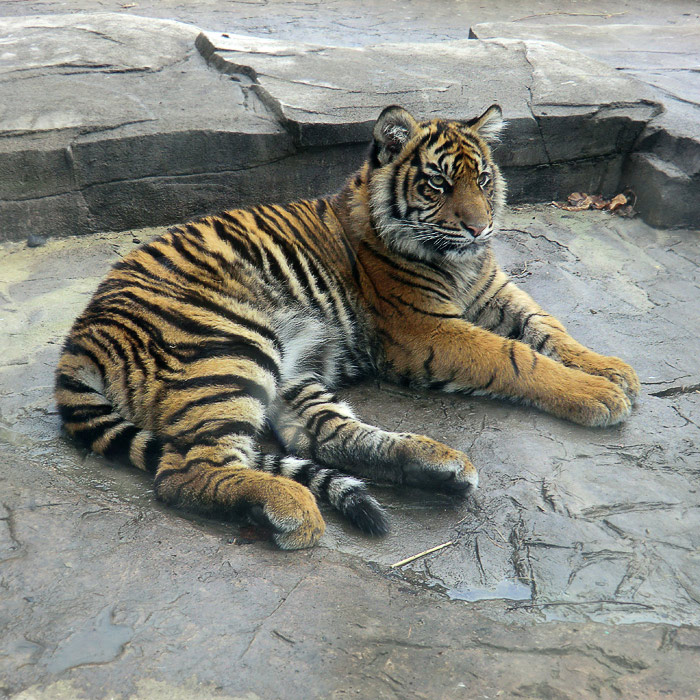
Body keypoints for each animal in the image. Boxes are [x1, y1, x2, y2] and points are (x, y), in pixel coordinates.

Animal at [54, 105, 640, 548]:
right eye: (438, 183)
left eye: (483, 179)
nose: (480, 228)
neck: (462, 264)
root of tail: (78, 339)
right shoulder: (426, 329)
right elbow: (515, 356)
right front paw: (597, 393)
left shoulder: (494, 290)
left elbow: (547, 327)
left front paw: (613, 370)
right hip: (229, 345)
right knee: (182, 472)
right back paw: (292, 509)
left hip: (290, 371)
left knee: (323, 436)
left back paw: (438, 468)